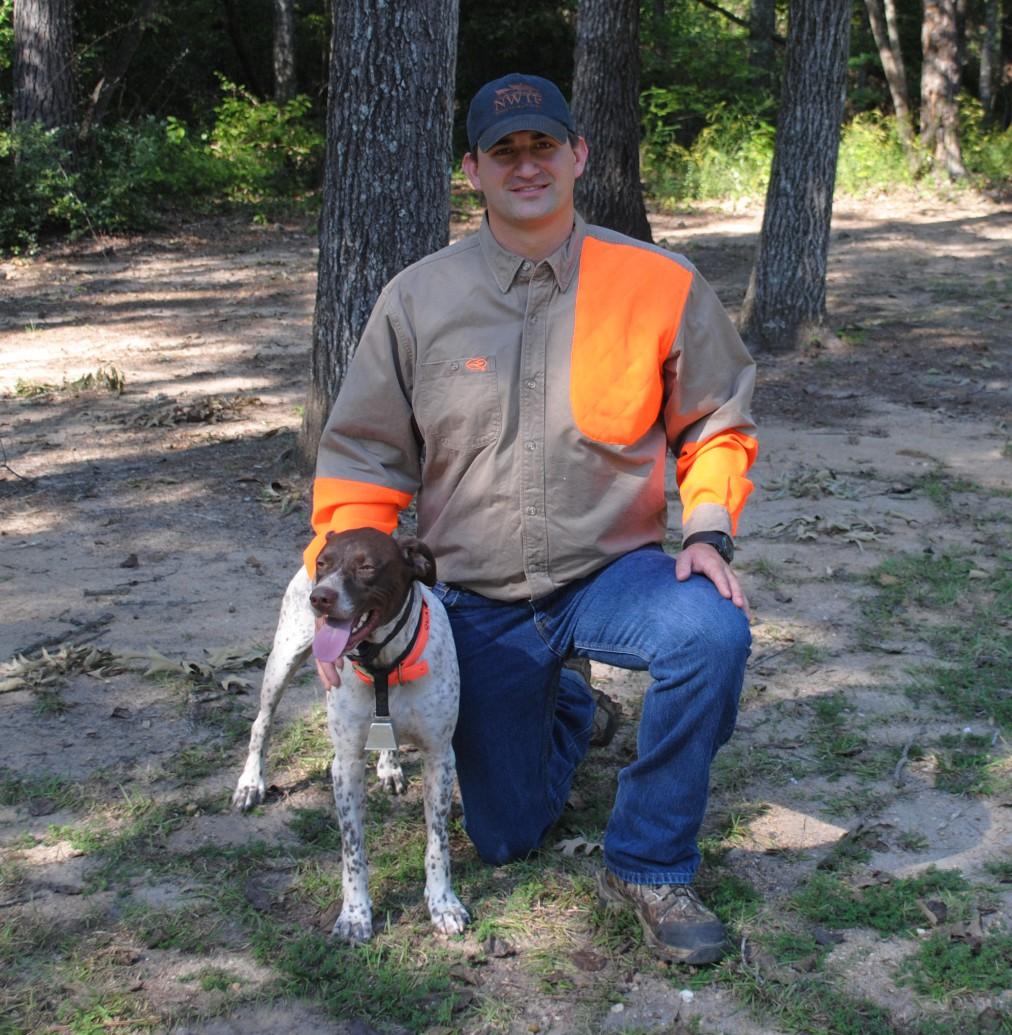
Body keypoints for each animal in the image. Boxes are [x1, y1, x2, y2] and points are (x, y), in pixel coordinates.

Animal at [230, 529, 467, 943]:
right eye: (324, 563)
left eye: (367, 566)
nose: (320, 597)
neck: (384, 665)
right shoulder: (346, 765)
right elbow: (353, 851)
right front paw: (355, 915)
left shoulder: (440, 757)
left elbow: (438, 844)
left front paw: (443, 904)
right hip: (282, 660)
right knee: (261, 723)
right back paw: (251, 783)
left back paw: (390, 768)